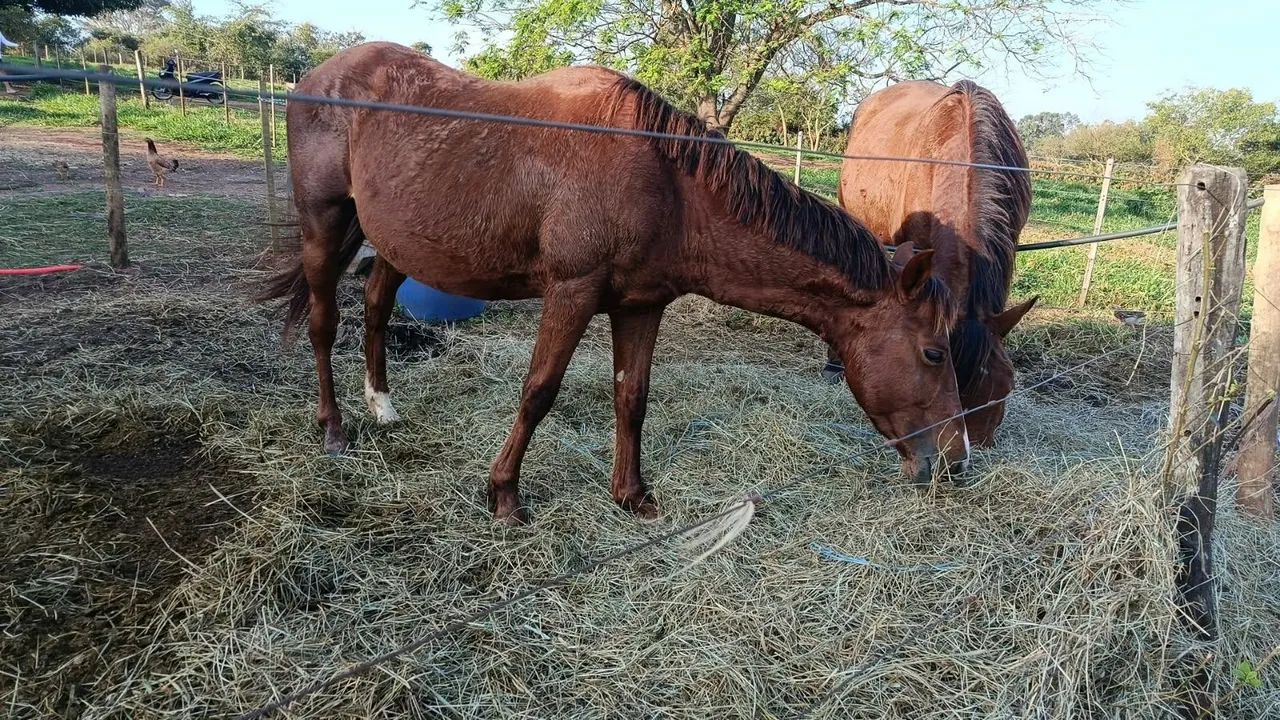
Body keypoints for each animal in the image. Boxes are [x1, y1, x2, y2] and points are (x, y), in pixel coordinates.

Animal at [260, 42, 970, 524]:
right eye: (934, 352)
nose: (955, 462)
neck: (666, 185)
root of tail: (315, 79)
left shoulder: (641, 306)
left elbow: (632, 398)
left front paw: (632, 495)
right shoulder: (571, 293)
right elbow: (538, 392)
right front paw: (504, 495)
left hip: (398, 242)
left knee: (377, 306)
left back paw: (382, 406)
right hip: (326, 225)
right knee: (324, 321)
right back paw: (334, 429)